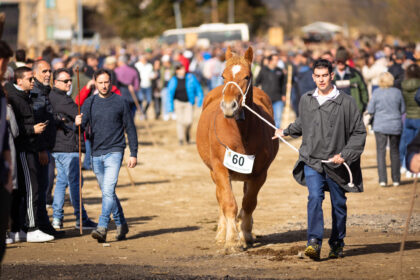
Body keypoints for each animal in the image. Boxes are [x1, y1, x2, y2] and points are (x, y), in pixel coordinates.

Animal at [196, 47, 278, 253]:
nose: (228, 106)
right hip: (215, 173)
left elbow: (249, 203)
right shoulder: (220, 169)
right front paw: (231, 239)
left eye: (247, 76)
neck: (241, 132)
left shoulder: (259, 173)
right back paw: (221, 232)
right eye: (223, 75)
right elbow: (228, 202)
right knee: (220, 197)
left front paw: (245, 234)